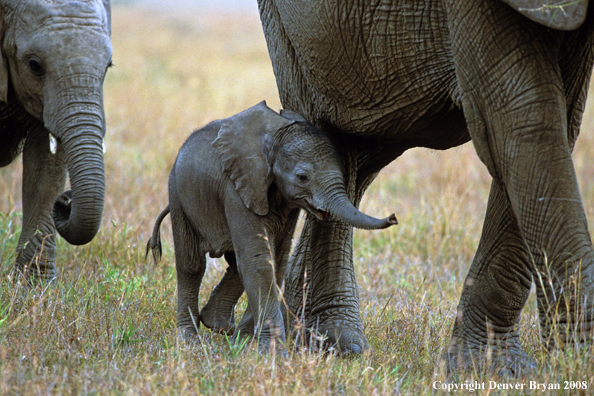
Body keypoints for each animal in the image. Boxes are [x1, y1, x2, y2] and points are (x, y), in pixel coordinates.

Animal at [145, 101, 394, 352]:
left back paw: (219, 325)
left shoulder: (288, 205)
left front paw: (245, 344)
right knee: (192, 264)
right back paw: (189, 340)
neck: (275, 139)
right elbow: (259, 262)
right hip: (178, 194)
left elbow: (276, 259)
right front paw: (272, 353)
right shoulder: (238, 189)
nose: (393, 218)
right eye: (303, 177)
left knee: (235, 263)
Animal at [256, 0, 592, 372]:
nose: (394, 218)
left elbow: (562, 119)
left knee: (359, 155)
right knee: (325, 127)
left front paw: (498, 369)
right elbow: (524, 124)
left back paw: (305, 331)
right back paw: (335, 344)